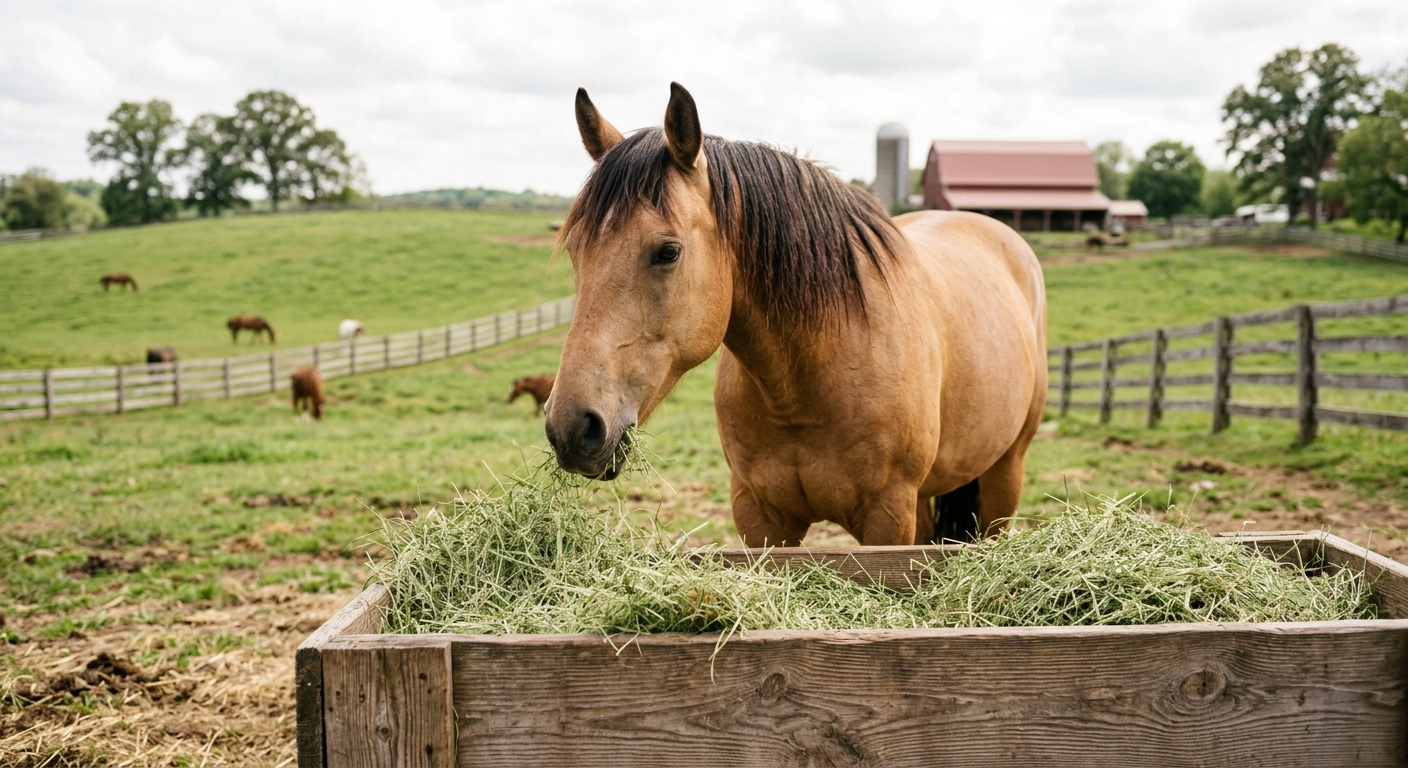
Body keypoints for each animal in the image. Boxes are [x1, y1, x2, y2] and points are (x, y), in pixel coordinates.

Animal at [545, 84, 1047, 547]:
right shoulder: (760, 517)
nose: (571, 427)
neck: (805, 385)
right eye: (575, 251)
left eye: (667, 252)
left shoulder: (887, 517)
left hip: (1005, 475)